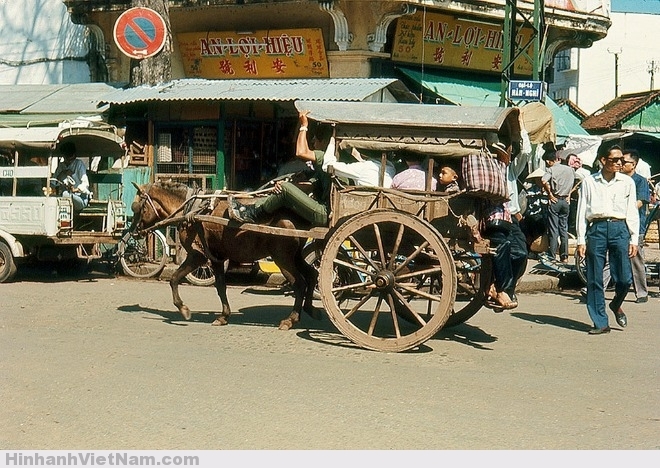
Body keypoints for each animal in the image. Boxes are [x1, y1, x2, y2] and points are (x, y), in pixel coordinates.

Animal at [130, 181, 320, 330]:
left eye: (137, 207)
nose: (133, 232)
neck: (191, 209)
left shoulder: (198, 255)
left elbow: (174, 278)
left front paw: (183, 309)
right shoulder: (217, 257)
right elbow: (220, 286)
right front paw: (223, 316)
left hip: (282, 258)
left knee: (299, 283)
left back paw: (291, 319)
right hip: (294, 256)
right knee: (312, 274)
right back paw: (310, 308)